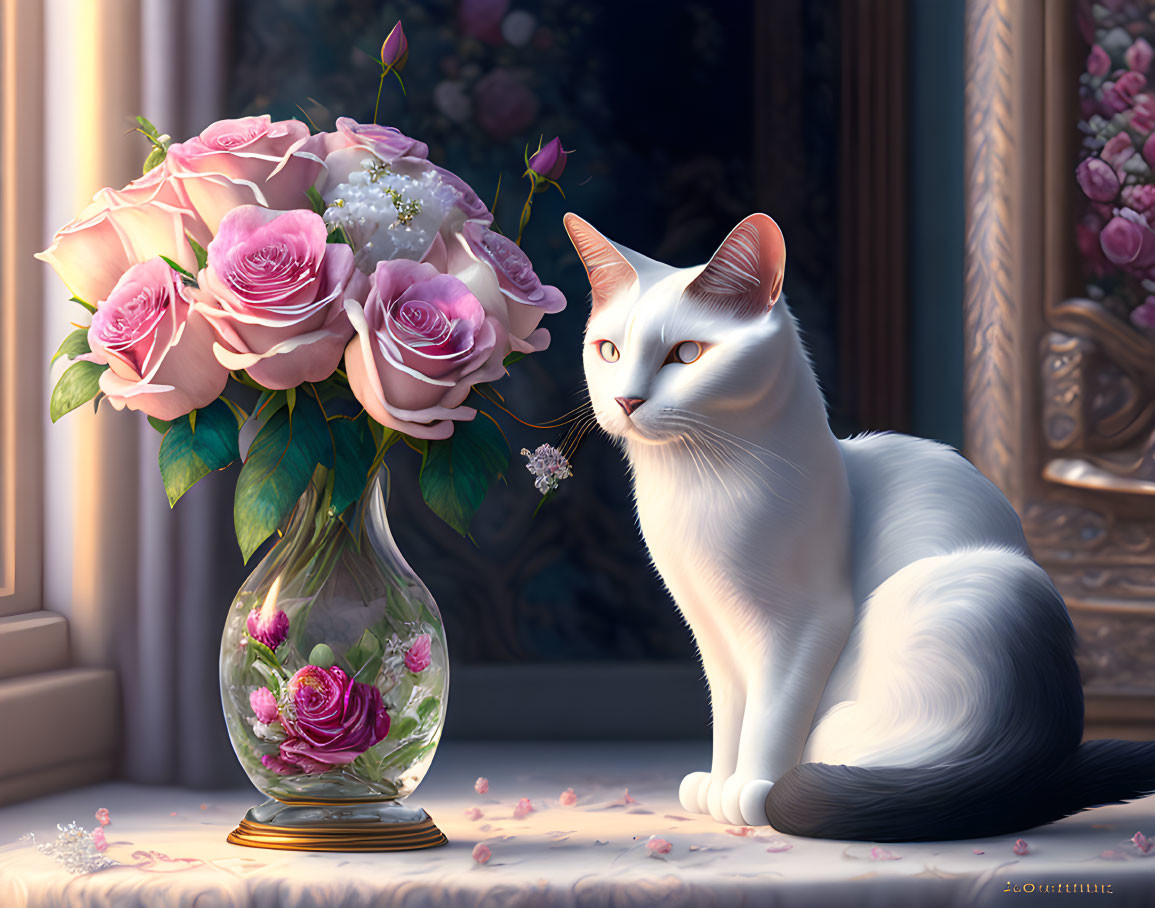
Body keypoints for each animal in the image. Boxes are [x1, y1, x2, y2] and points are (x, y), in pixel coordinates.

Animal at [563, 209, 1155, 836]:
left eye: (687, 354)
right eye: (608, 351)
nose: (626, 401)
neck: (695, 490)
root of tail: (1039, 759)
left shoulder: (805, 624)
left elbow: (771, 717)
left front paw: (751, 792)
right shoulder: (712, 632)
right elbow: (730, 715)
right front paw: (717, 785)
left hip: (948, 610)